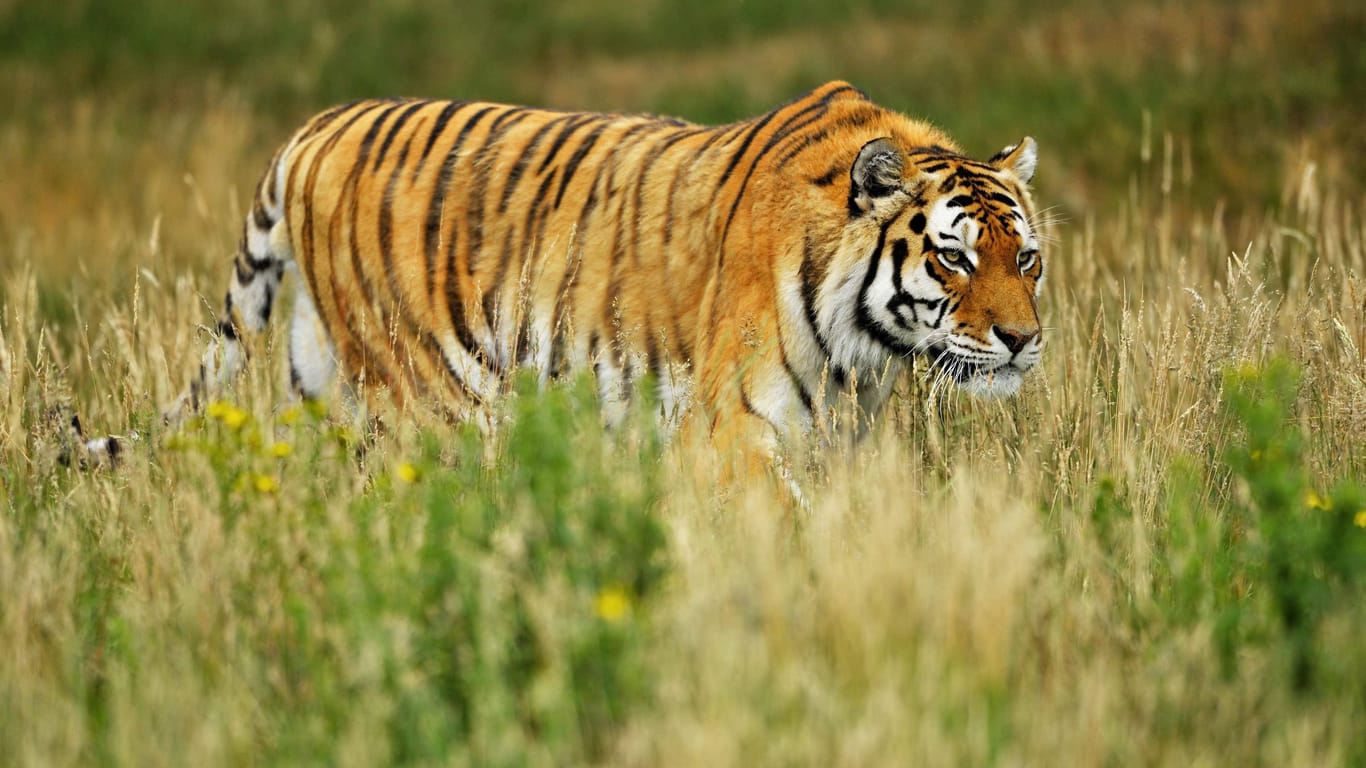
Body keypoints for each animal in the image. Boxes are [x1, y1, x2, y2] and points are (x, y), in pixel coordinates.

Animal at [88, 80, 1043, 470]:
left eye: (1026, 259)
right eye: (954, 256)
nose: (1024, 341)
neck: (867, 350)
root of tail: (315, 128)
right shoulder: (732, 428)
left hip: (326, 388)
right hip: (438, 400)